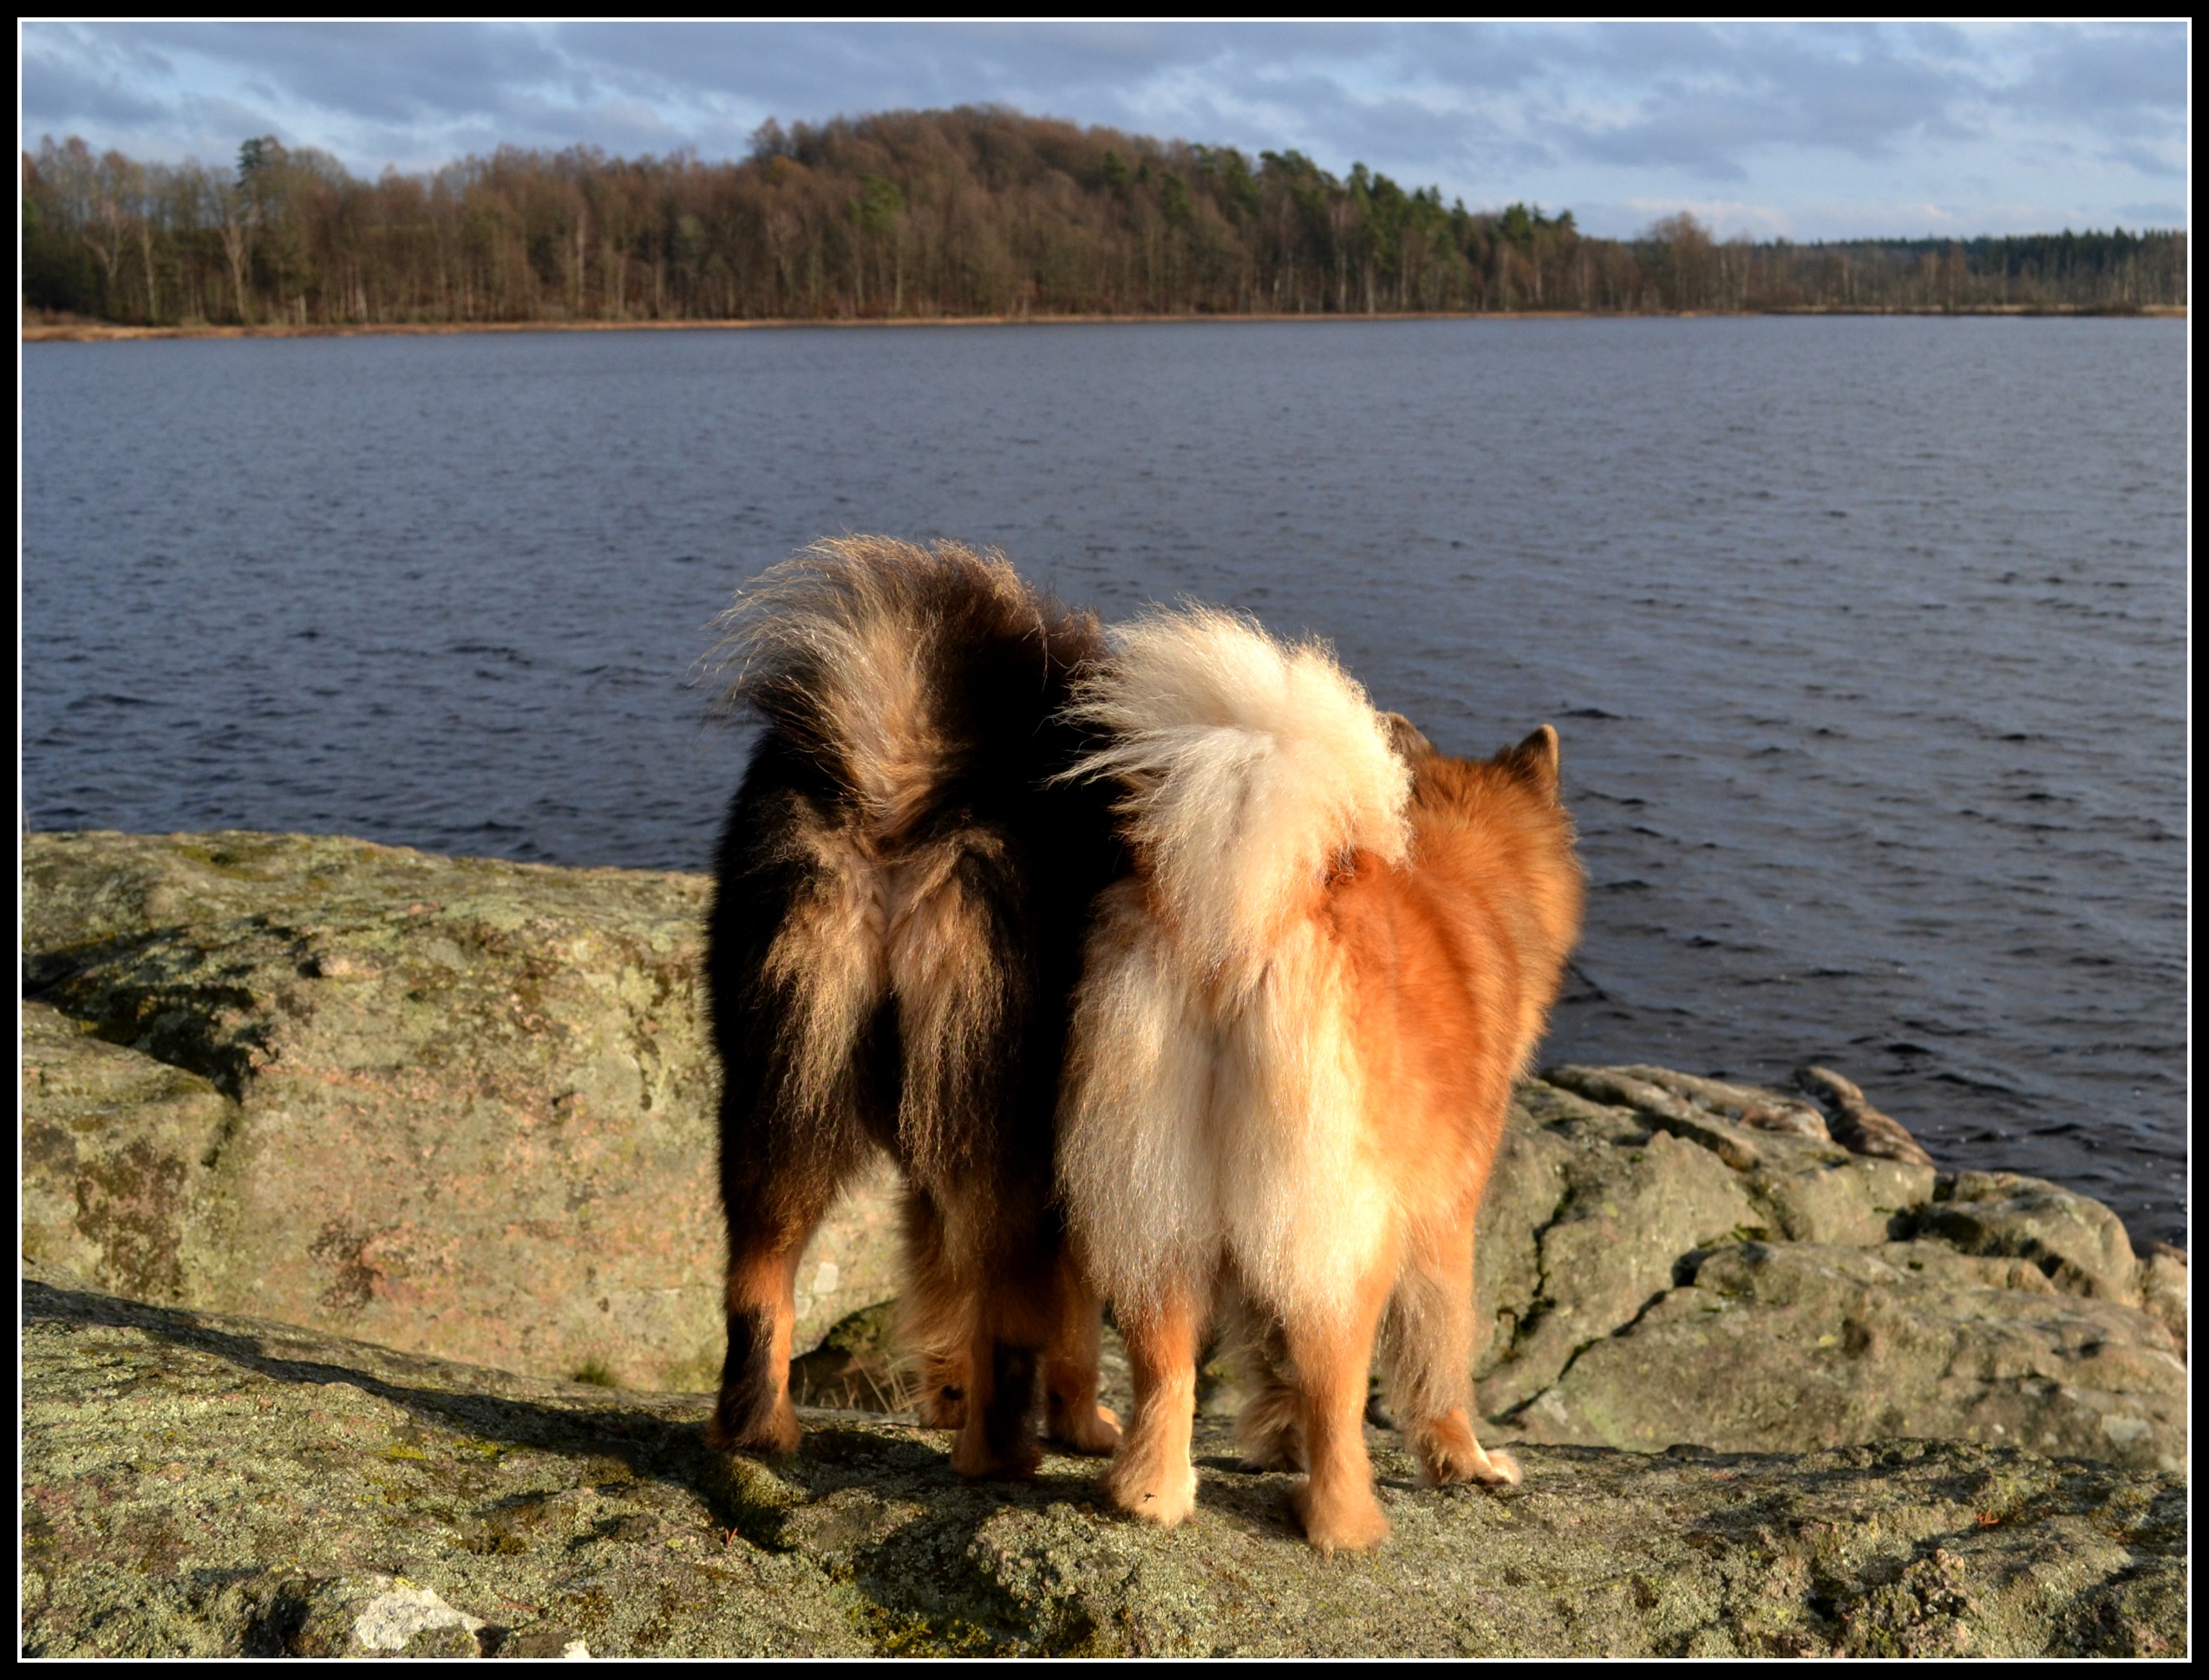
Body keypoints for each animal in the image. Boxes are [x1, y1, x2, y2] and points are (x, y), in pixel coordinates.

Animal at [703, 537, 1123, 1475]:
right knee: (1008, 1312)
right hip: (1001, 1120)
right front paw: (1083, 1423)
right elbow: (1070, 1323)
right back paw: (1000, 1454)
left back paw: (759, 1429)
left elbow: (940, 1280)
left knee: (759, 1278)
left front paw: (944, 1397)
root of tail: (899, 783)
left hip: (777, 1083)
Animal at [1055, 607, 1584, 1551]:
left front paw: (1271, 1441)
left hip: (1157, 1203)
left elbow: (1264, 1357)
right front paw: (1466, 1461)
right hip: (1338, 1228)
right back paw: (1347, 1521)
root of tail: (1241, 925)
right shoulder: (1443, 1214)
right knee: (1336, 1378)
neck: (1463, 880)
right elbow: (1439, 1352)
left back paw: (1151, 1491)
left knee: (1167, 1365)